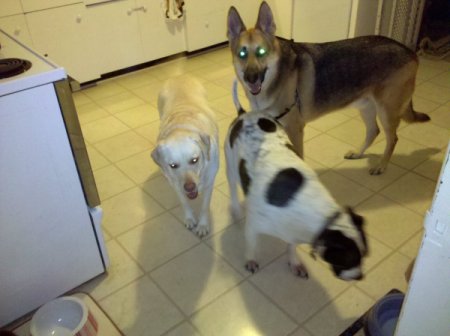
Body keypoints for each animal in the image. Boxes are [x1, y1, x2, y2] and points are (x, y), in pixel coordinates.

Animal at [227, 1, 430, 176]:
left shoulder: (295, 130)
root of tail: (410, 52)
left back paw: (381, 166)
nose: (251, 77)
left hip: (386, 111)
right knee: (374, 131)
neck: (276, 78)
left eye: (261, 52)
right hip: (366, 106)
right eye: (242, 53)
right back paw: (358, 153)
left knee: (392, 139)